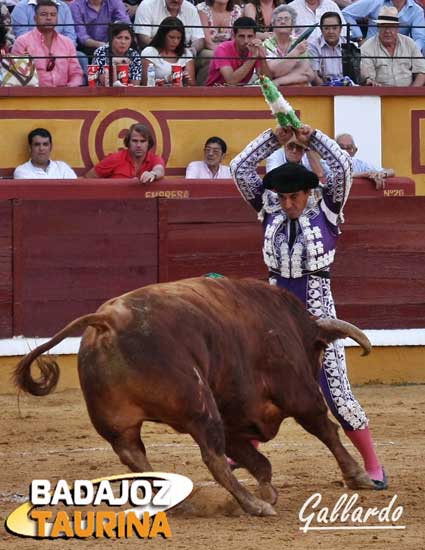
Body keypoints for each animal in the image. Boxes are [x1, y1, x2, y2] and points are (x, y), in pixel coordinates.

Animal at [13, 280, 372, 516]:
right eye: (319, 350)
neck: (291, 325)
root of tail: (107, 321)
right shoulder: (297, 393)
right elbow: (324, 429)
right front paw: (357, 476)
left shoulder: (235, 419)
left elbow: (258, 460)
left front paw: (268, 490)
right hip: (200, 406)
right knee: (213, 458)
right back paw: (254, 506)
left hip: (119, 424)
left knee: (134, 456)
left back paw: (179, 502)